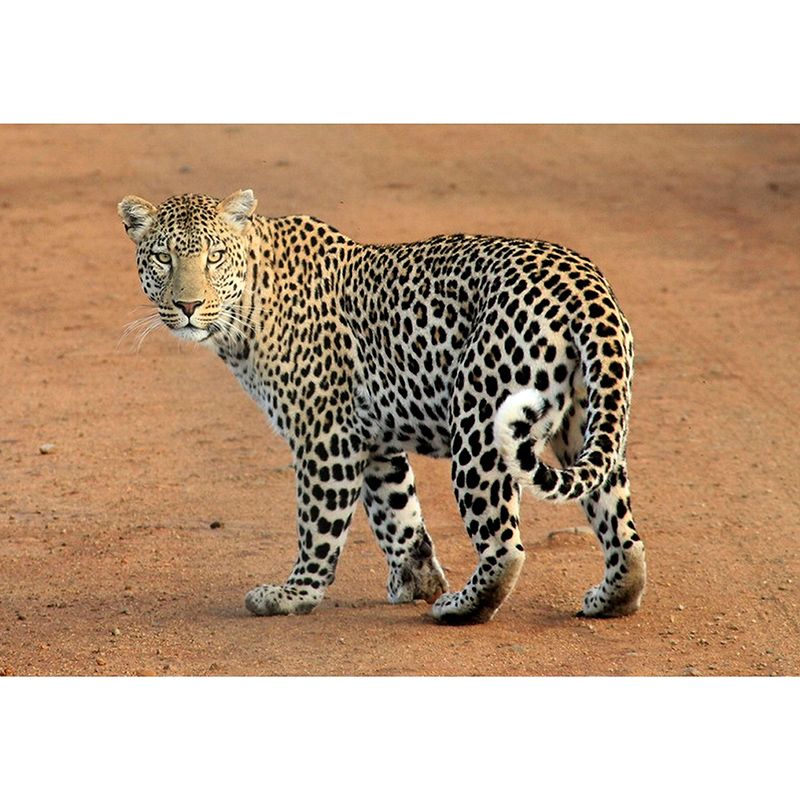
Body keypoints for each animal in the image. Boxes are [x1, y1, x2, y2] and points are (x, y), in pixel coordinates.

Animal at [118, 189, 646, 624]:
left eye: (214, 257)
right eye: (163, 258)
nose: (188, 306)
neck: (247, 307)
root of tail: (584, 285)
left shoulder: (326, 436)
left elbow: (319, 524)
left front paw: (295, 594)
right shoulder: (372, 439)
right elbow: (399, 514)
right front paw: (417, 579)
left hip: (479, 425)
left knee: (504, 546)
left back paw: (460, 607)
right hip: (587, 422)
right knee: (622, 529)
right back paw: (610, 598)